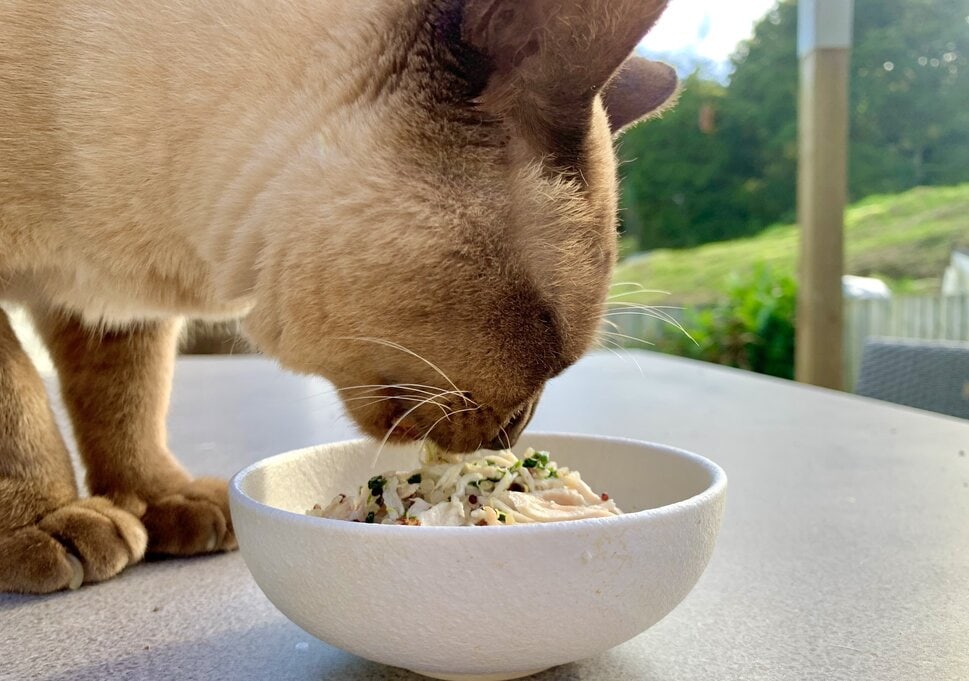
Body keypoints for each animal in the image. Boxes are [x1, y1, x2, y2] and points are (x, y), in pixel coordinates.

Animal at [0, 0, 676, 592]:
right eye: (549, 334)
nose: (513, 436)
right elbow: (21, 403)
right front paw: (49, 522)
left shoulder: (112, 303)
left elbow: (127, 401)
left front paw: (162, 500)